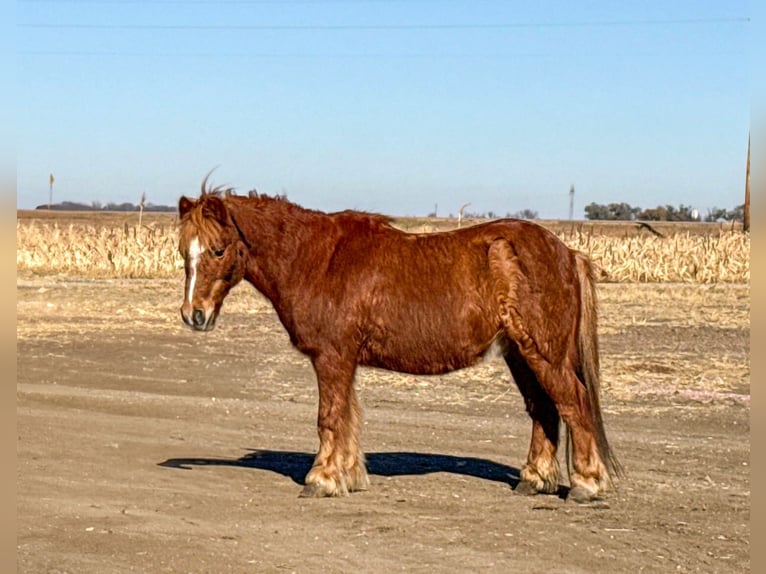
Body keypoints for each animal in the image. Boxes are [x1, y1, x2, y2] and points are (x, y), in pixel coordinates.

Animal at [177, 181, 620, 504]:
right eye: (184, 252)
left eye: (218, 249)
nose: (193, 315)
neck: (317, 259)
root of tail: (567, 252)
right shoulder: (345, 360)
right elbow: (349, 417)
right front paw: (349, 476)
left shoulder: (331, 357)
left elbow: (329, 417)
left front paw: (322, 478)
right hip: (521, 354)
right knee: (544, 409)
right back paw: (534, 479)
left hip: (543, 353)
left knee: (573, 404)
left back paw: (587, 485)